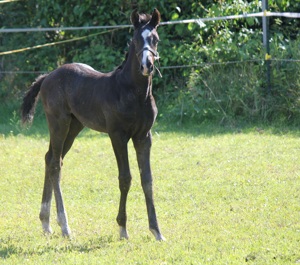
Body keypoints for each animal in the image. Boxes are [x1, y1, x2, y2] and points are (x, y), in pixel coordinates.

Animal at [22, 8, 165, 239]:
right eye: (135, 39)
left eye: (155, 39)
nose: (147, 66)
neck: (134, 93)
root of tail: (47, 76)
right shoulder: (118, 136)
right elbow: (125, 178)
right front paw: (122, 228)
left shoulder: (144, 137)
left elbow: (147, 180)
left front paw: (156, 231)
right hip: (58, 123)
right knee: (55, 163)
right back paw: (65, 226)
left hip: (74, 127)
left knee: (51, 158)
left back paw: (46, 223)